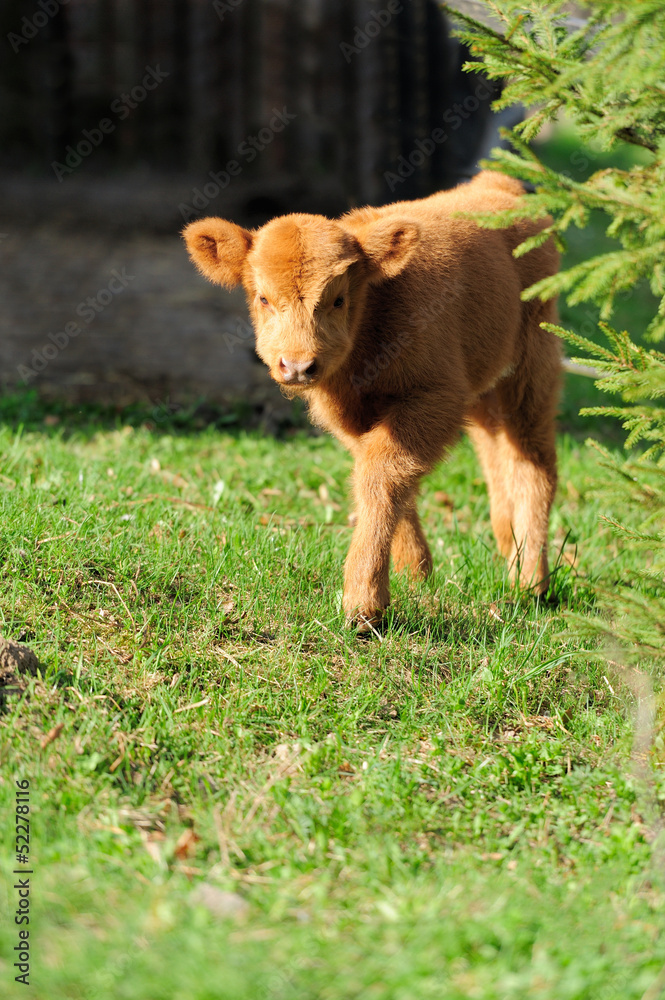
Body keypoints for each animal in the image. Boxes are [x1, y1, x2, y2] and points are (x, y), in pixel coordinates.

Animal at [183, 170, 560, 624]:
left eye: (338, 299)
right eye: (263, 298)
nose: (297, 366)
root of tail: (498, 184)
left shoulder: (434, 397)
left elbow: (381, 474)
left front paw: (364, 603)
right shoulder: (353, 416)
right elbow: (386, 475)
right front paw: (416, 572)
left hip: (534, 361)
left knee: (533, 460)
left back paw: (531, 581)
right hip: (485, 381)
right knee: (495, 451)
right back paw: (510, 549)